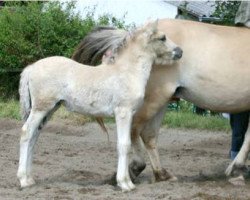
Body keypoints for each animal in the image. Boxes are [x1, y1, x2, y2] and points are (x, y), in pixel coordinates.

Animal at [17, 21, 182, 191]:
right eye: (162, 38)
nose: (179, 52)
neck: (127, 72)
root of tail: (31, 68)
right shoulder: (123, 112)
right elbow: (124, 145)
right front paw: (125, 183)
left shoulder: (129, 114)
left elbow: (126, 144)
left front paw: (126, 182)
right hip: (40, 108)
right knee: (26, 133)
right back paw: (23, 180)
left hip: (50, 109)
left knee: (34, 137)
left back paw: (30, 179)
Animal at [72, 19, 250, 184]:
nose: (179, 51)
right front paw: (237, 168)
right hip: (154, 98)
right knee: (136, 129)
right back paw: (135, 168)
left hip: (162, 101)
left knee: (148, 135)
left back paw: (161, 174)